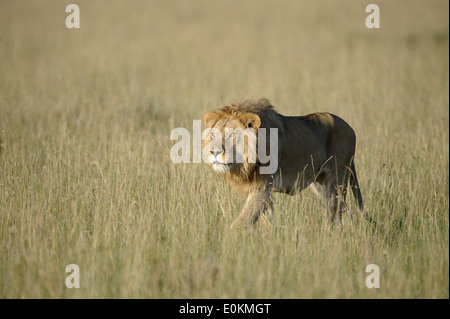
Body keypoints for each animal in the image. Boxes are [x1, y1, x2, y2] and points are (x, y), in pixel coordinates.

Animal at [202, 99, 374, 229]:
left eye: (232, 135)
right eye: (213, 135)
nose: (214, 152)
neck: (244, 163)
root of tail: (350, 128)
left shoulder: (262, 187)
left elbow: (242, 221)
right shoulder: (258, 189)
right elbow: (266, 220)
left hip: (336, 182)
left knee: (334, 215)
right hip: (320, 186)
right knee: (346, 210)